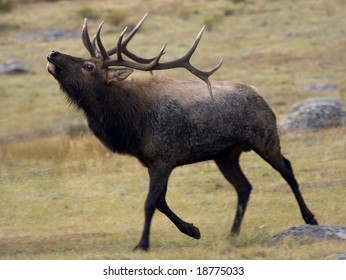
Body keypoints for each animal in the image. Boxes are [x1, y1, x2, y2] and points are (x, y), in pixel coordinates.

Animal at [46, 13, 318, 250]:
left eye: (88, 66)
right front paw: (193, 229)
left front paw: (142, 244)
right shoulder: (152, 160)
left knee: (287, 170)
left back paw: (310, 218)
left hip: (265, 136)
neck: (131, 123)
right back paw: (232, 232)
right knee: (244, 186)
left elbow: (150, 203)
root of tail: (261, 96)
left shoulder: (164, 156)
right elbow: (160, 202)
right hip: (226, 154)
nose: (53, 53)